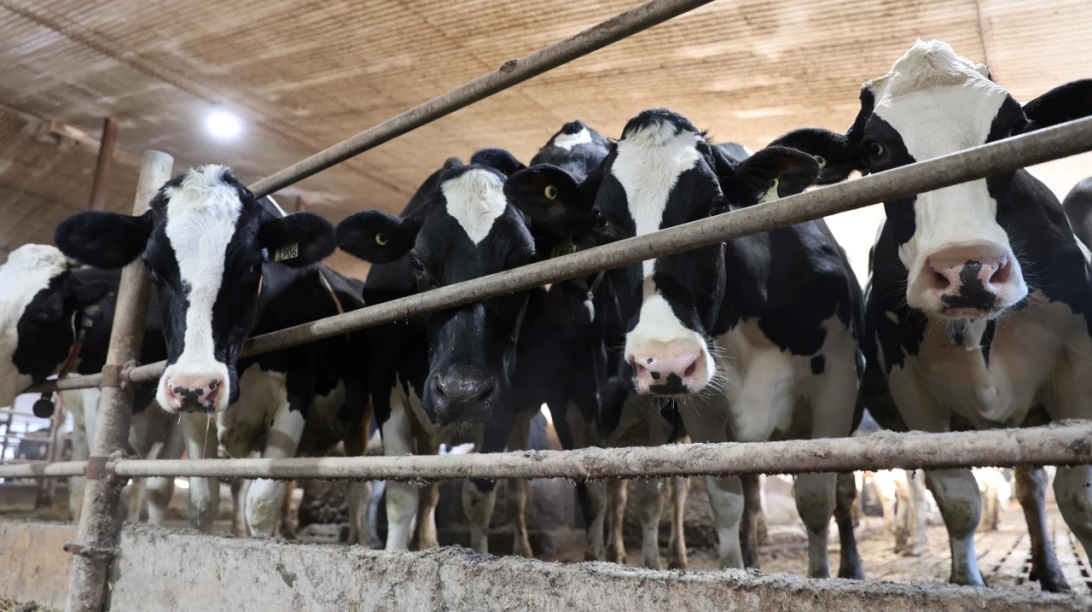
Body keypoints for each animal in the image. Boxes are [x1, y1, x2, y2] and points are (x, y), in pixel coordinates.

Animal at [53, 166, 372, 540]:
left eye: (253, 266)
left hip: (359, 421)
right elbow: (203, 502)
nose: (195, 384)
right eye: (153, 268)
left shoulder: (296, 394)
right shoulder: (192, 417)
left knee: (357, 489)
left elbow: (261, 503)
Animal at [561, 107, 864, 580]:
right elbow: (727, 503)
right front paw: (735, 570)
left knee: (846, 494)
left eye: (716, 207)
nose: (664, 363)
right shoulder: (702, 412)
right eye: (603, 220)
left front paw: (823, 578)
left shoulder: (838, 384)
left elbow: (817, 498)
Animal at [770, 39, 1092, 590]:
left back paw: (1049, 572)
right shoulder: (912, 388)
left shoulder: (1079, 363)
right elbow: (956, 496)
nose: (968, 269)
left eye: (1013, 128)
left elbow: (1079, 498)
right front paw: (968, 584)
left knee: (1030, 483)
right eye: (875, 150)